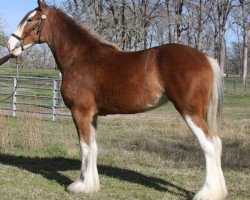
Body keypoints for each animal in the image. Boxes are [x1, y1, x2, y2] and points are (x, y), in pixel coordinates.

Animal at [7, 0, 228, 199]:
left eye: (30, 19)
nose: (10, 45)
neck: (79, 58)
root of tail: (206, 59)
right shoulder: (92, 115)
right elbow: (93, 147)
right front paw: (90, 184)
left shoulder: (80, 112)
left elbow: (84, 146)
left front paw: (81, 186)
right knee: (216, 144)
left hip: (190, 112)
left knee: (210, 144)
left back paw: (207, 192)